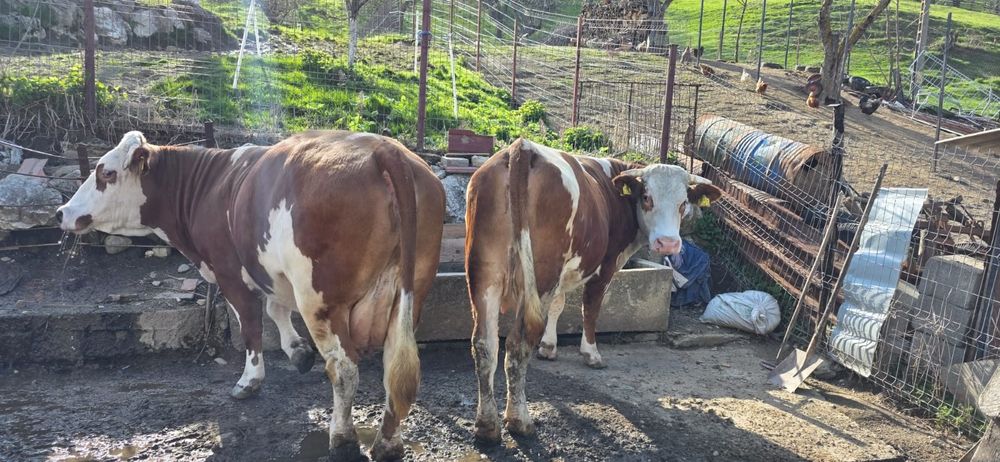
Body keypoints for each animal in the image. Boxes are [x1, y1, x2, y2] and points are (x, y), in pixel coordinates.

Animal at [56, 130, 445, 460]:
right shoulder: (268, 268)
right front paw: (298, 352)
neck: (209, 186)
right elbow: (275, 308)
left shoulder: (229, 271)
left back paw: (342, 436)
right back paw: (388, 443)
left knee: (344, 368)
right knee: (397, 366)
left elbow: (250, 324)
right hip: (410, 293)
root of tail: (383, 149)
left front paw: (249, 380)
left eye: (106, 173)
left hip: (320, 299)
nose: (62, 212)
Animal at [464, 138, 721, 442]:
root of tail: (522, 148)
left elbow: (559, 304)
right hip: (538, 275)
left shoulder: (561, 275)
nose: (668, 243)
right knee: (517, 344)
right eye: (647, 197)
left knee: (485, 344)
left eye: (683, 204)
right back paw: (520, 420)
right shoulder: (605, 266)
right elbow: (591, 308)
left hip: (484, 273)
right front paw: (591, 354)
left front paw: (549, 347)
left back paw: (487, 425)